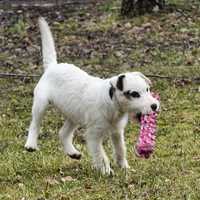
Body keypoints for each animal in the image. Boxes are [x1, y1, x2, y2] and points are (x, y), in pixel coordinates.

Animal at [25, 18, 159, 175]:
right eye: (134, 94)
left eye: (147, 89)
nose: (154, 105)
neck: (112, 103)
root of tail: (53, 66)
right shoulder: (94, 135)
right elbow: (101, 155)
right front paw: (106, 171)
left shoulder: (117, 132)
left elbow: (120, 150)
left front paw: (124, 168)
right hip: (41, 104)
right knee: (35, 124)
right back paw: (31, 144)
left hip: (73, 114)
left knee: (63, 133)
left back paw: (73, 152)